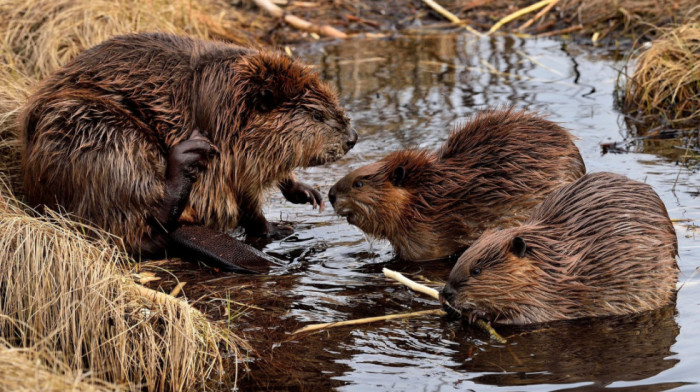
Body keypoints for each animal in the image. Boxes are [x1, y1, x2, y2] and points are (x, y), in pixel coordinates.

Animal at [19, 33, 358, 260]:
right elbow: (245, 198)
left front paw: (306, 193)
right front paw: (275, 229)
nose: (353, 138)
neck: (229, 97)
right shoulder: (230, 152)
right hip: (99, 130)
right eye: (317, 115)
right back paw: (184, 162)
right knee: (136, 228)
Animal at [442, 172, 680, 324]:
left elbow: (525, 316)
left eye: (476, 271)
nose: (446, 293)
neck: (548, 263)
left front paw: (478, 314)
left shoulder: (546, 297)